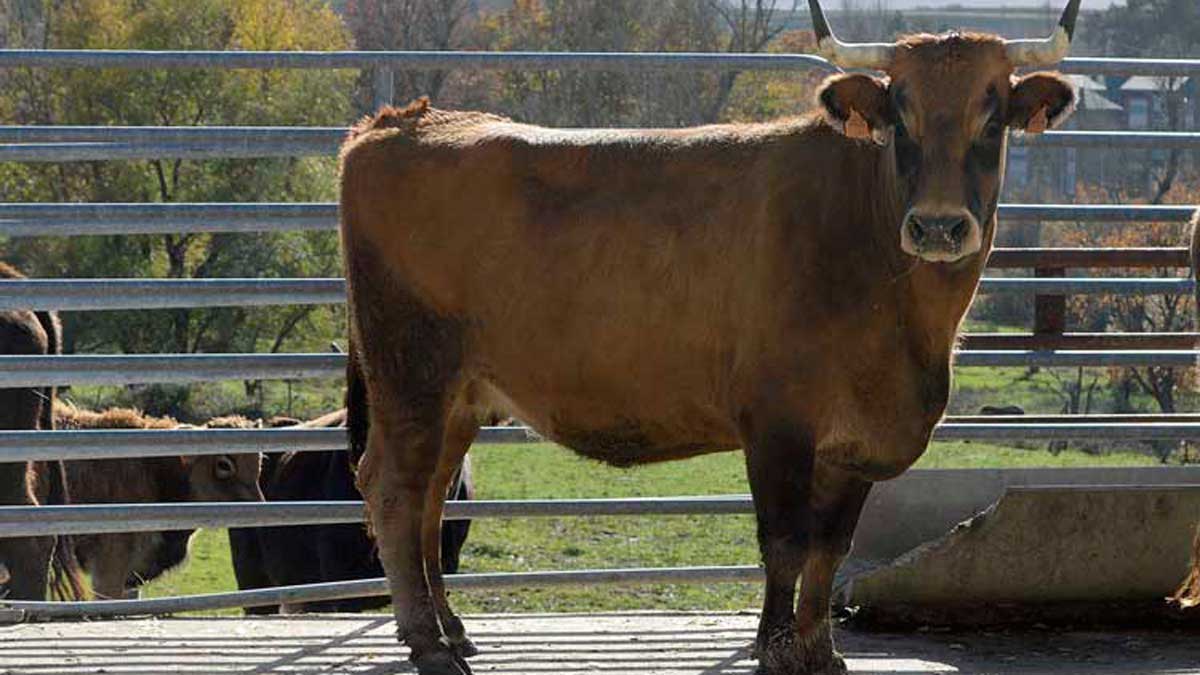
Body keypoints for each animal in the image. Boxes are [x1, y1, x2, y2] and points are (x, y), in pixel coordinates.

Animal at [340, 2, 1089, 667]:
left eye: (992, 116)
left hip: (459, 396)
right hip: (412, 371)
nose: (938, 226)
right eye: (899, 115)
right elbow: (785, 544)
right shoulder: (777, 422)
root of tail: (401, 123)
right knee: (395, 489)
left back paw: (450, 627)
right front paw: (777, 649)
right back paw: (429, 643)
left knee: (433, 498)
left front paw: (820, 651)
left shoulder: (857, 444)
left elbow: (830, 547)